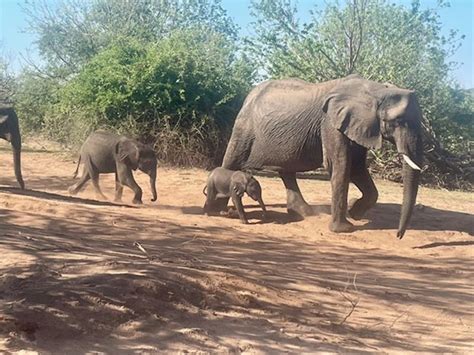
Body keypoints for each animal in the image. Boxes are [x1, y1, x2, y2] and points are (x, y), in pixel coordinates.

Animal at [222, 74, 422, 239]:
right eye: (397, 121)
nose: (398, 236)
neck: (376, 90)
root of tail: (250, 95)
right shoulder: (330, 122)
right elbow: (340, 164)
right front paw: (344, 229)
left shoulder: (356, 126)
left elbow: (357, 167)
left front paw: (354, 212)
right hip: (244, 127)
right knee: (231, 161)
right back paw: (222, 211)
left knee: (287, 171)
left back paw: (305, 213)